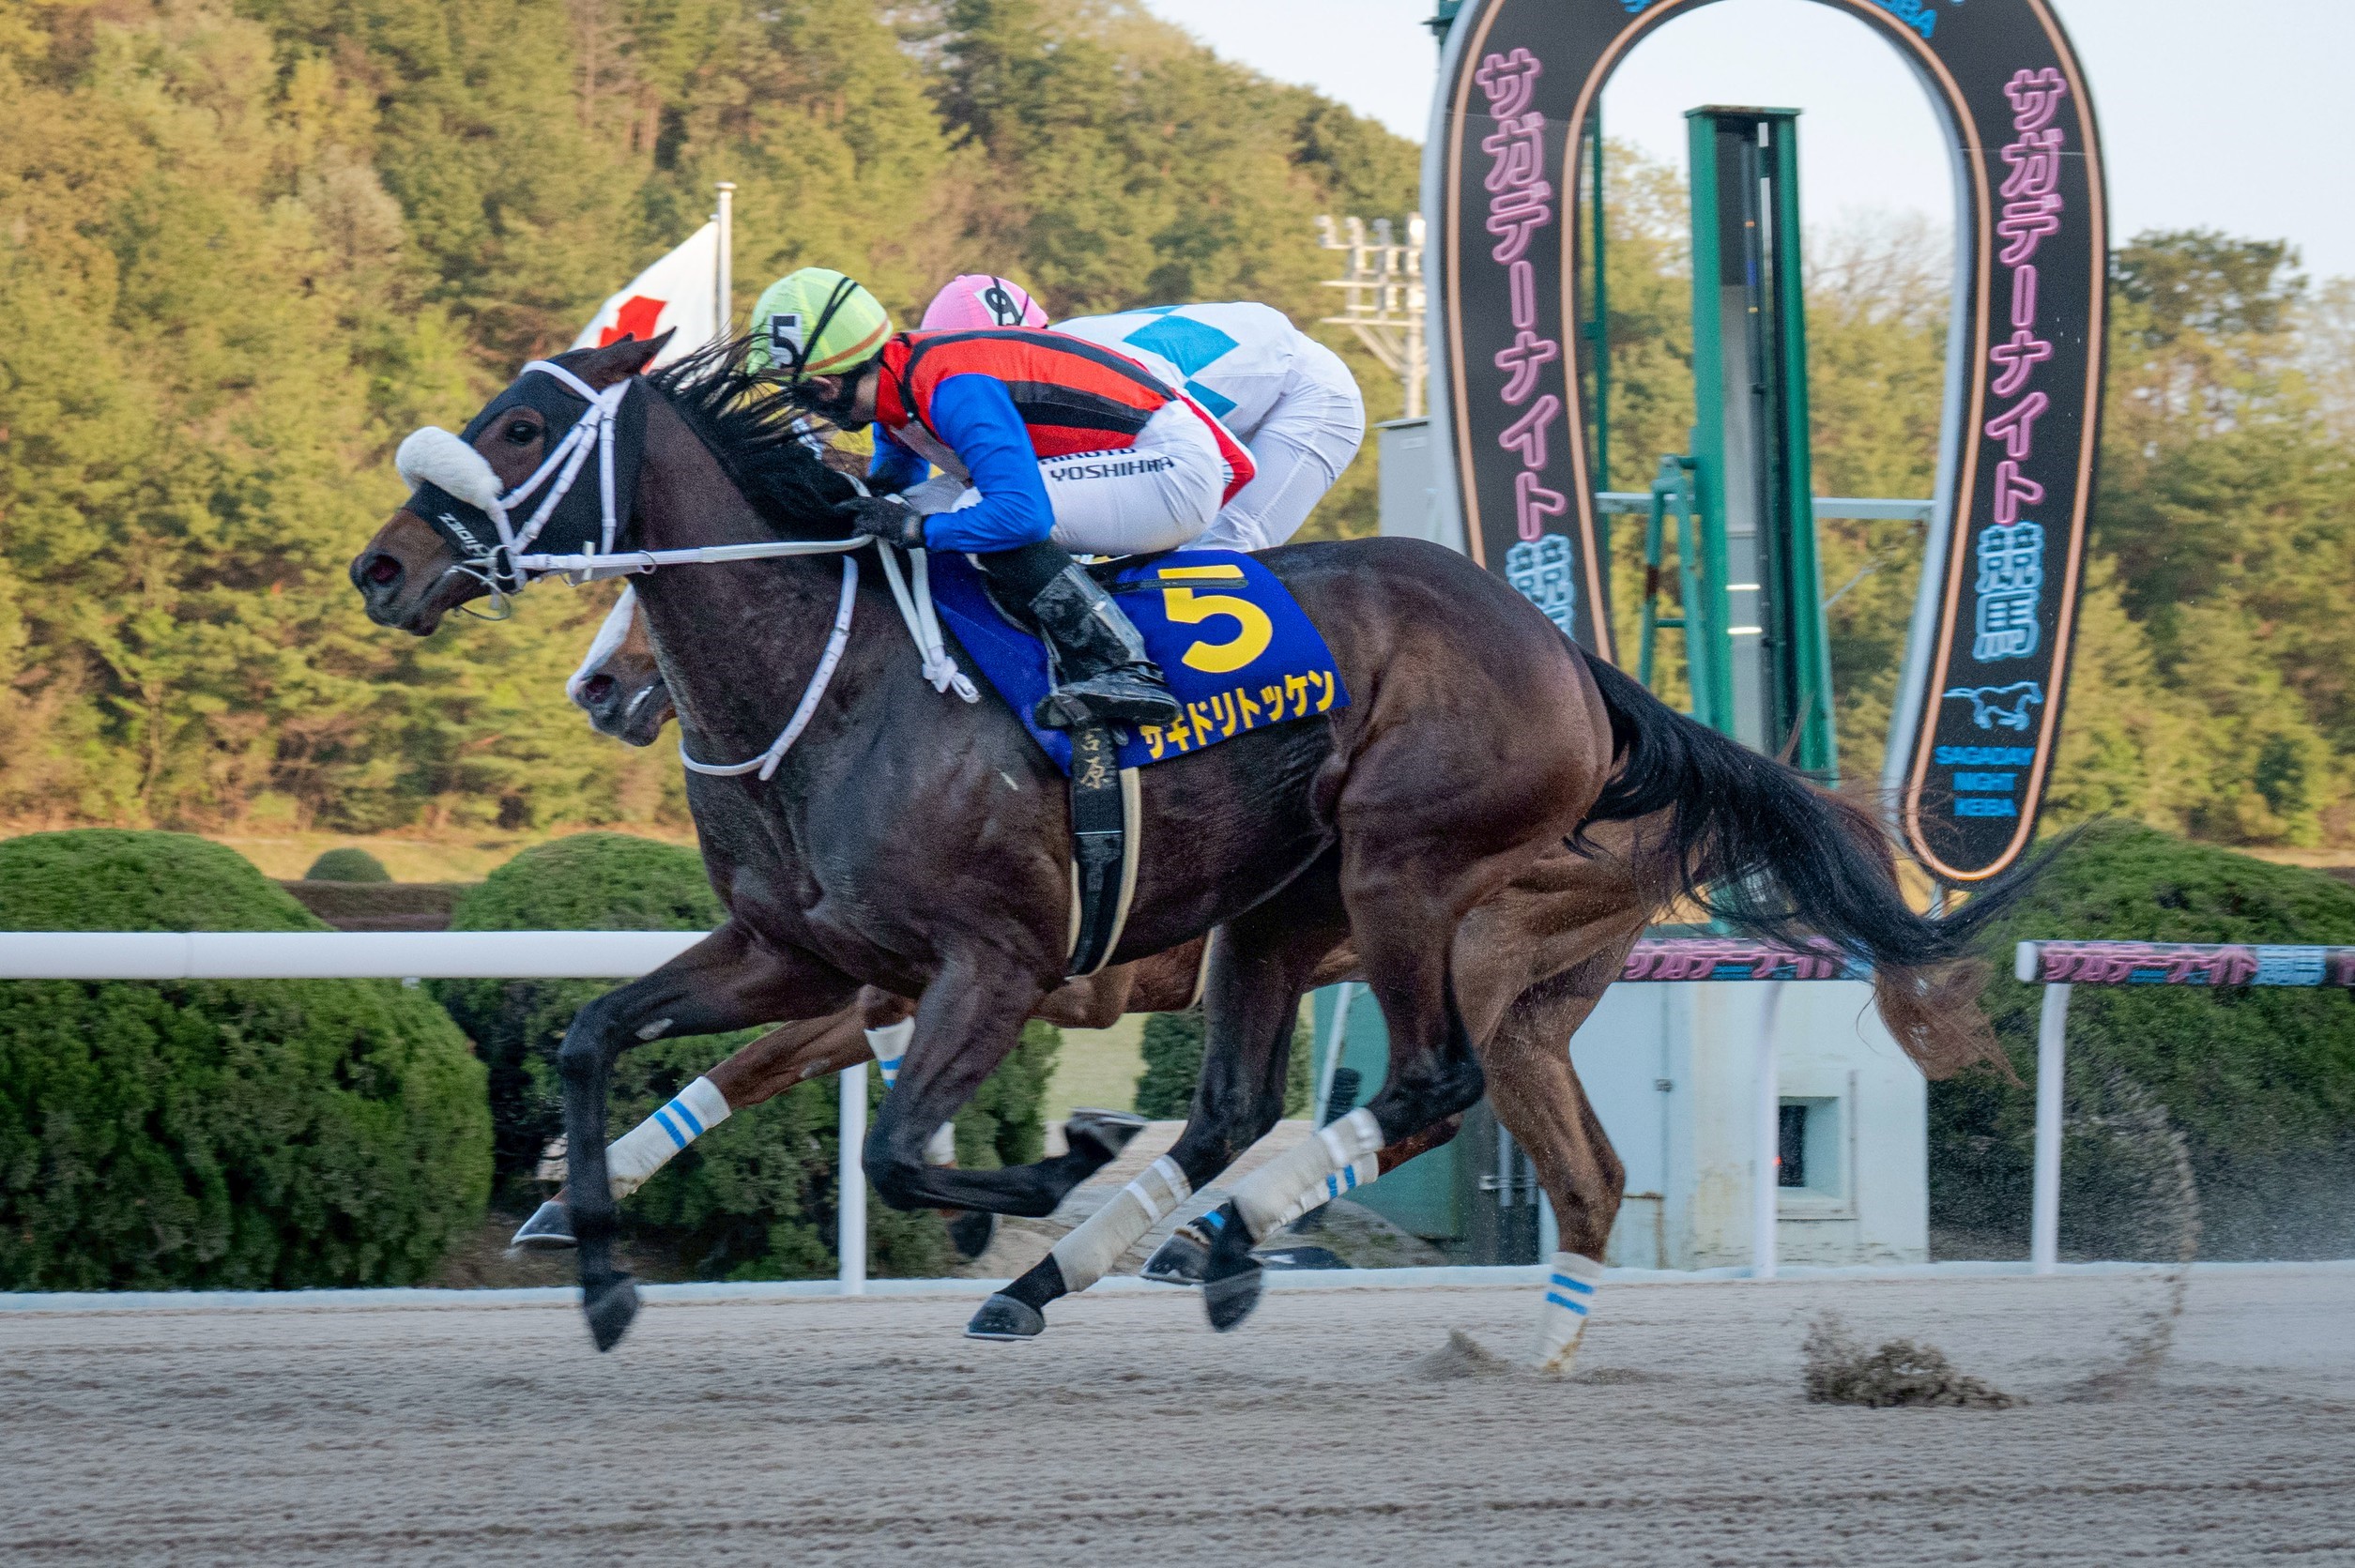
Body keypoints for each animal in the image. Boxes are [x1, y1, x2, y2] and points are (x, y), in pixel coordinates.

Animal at [352, 333, 2019, 1355]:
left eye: (519, 426)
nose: (383, 564)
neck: (834, 673)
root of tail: (1572, 660)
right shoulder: (800, 950)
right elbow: (595, 1036)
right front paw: (597, 1263)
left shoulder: (985, 963)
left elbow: (896, 1148)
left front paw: (1060, 1163)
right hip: (1298, 920)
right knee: (1334, 1123)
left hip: (1414, 881)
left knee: (1426, 1085)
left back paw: (1208, 1232)